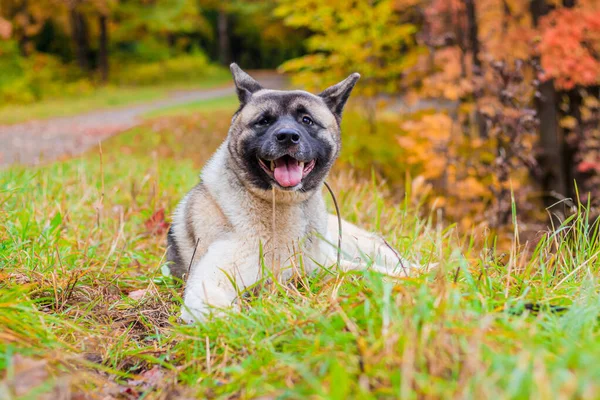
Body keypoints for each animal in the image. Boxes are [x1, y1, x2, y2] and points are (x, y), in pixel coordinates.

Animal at [165, 64, 418, 324]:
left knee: (396, 262)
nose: (287, 136)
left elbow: (370, 271)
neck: (278, 205)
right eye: (264, 121)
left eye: (307, 120)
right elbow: (219, 309)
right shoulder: (208, 283)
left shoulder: (328, 267)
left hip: (359, 243)